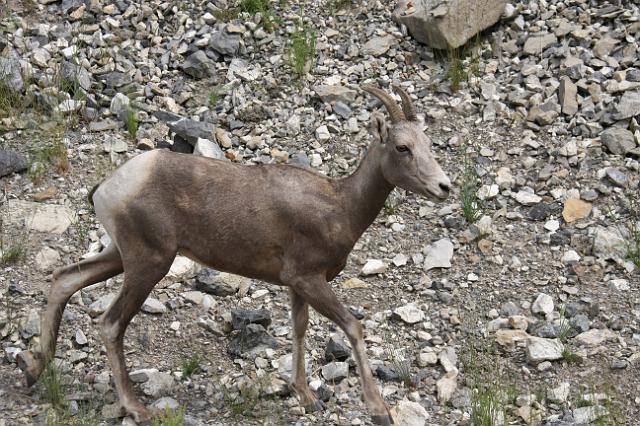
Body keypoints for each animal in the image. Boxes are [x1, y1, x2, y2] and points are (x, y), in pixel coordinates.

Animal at [17, 85, 452, 424]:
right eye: (403, 147)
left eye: (429, 146)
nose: (444, 187)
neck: (340, 206)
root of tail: (111, 186)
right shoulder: (308, 279)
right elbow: (353, 327)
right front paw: (380, 410)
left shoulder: (296, 286)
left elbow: (298, 329)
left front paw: (305, 395)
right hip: (148, 264)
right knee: (109, 324)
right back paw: (136, 409)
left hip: (119, 256)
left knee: (64, 279)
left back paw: (35, 371)